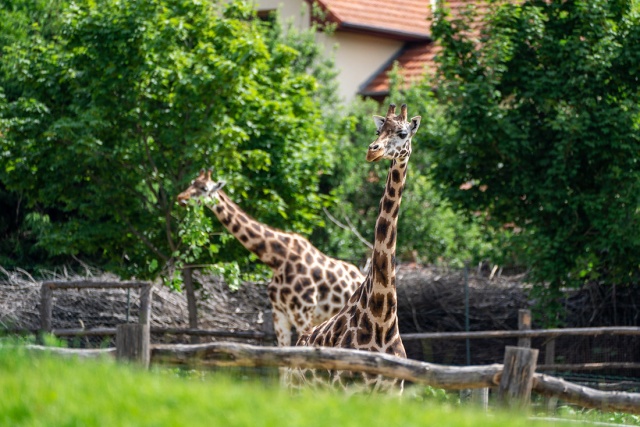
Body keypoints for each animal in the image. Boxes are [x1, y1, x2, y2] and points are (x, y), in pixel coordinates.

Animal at [175, 171, 364, 348]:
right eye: (192, 183)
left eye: (204, 188)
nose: (181, 198)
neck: (277, 259)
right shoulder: (279, 315)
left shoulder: (303, 313)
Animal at [294, 103, 420, 394]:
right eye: (378, 131)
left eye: (402, 133)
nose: (372, 150)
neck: (381, 318)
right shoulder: (346, 387)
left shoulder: (392, 391)